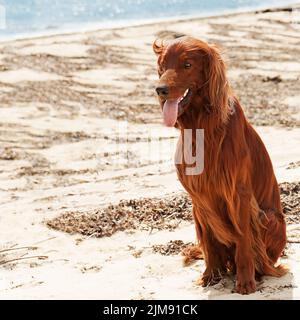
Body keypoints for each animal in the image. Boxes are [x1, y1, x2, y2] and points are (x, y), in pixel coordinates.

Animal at [154, 37, 288, 296]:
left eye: (187, 64)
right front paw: (211, 275)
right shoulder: (199, 198)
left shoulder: (238, 193)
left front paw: (245, 282)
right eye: (162, 66)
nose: (160, 90)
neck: (202, 125)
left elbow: (244, 238)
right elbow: (209, 241)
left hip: (269, 217)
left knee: (264, 257)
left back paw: (259, 271)